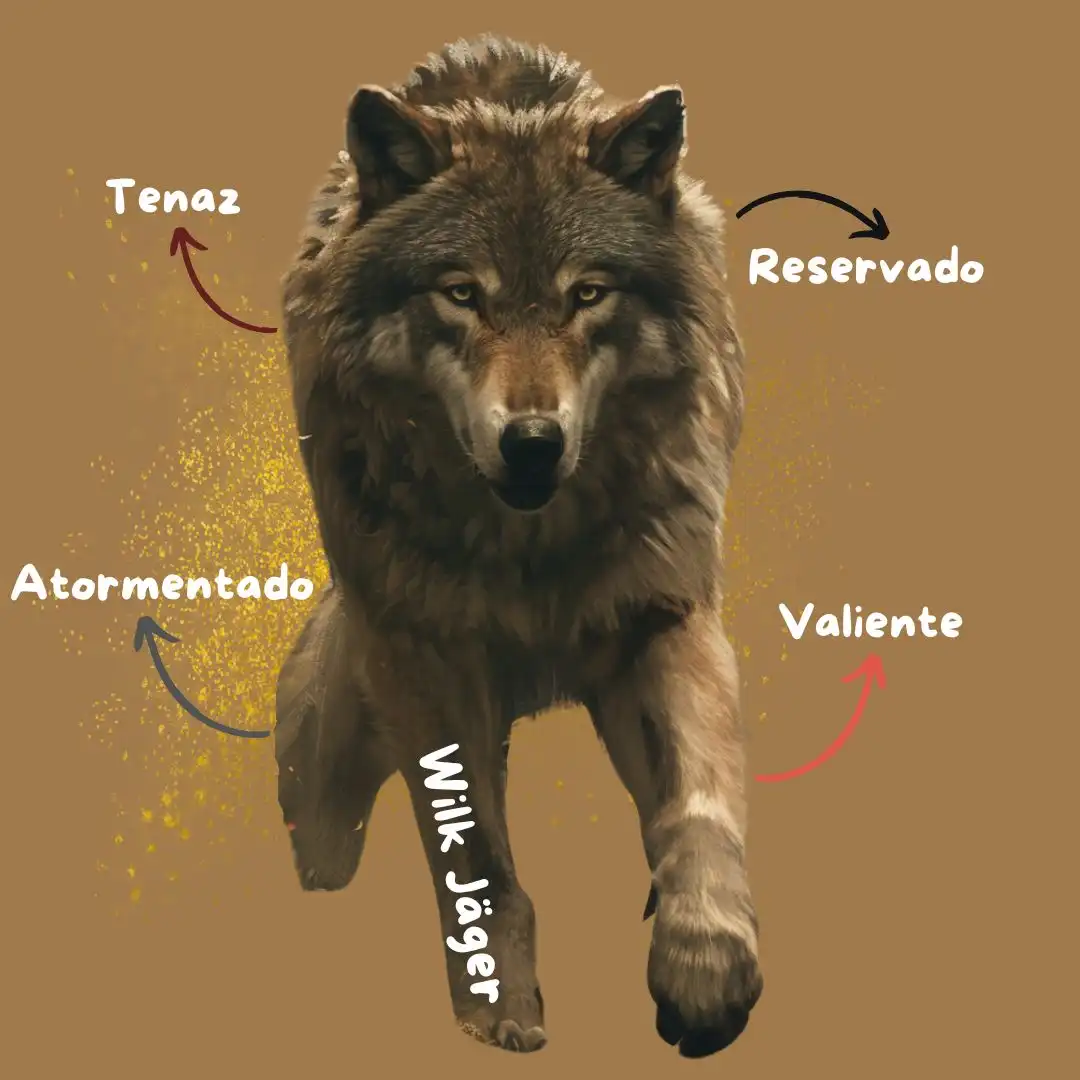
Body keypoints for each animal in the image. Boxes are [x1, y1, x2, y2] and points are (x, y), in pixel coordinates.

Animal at [275, 34, 762, 1059]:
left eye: (588, 294)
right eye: (462, 294)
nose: (532, 442)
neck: (533, 552)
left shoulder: (666, 611)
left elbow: (698, 804)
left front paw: (705, 965)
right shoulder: (424, 657)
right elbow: (475, 852)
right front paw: (497, 1000)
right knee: (327, 839)